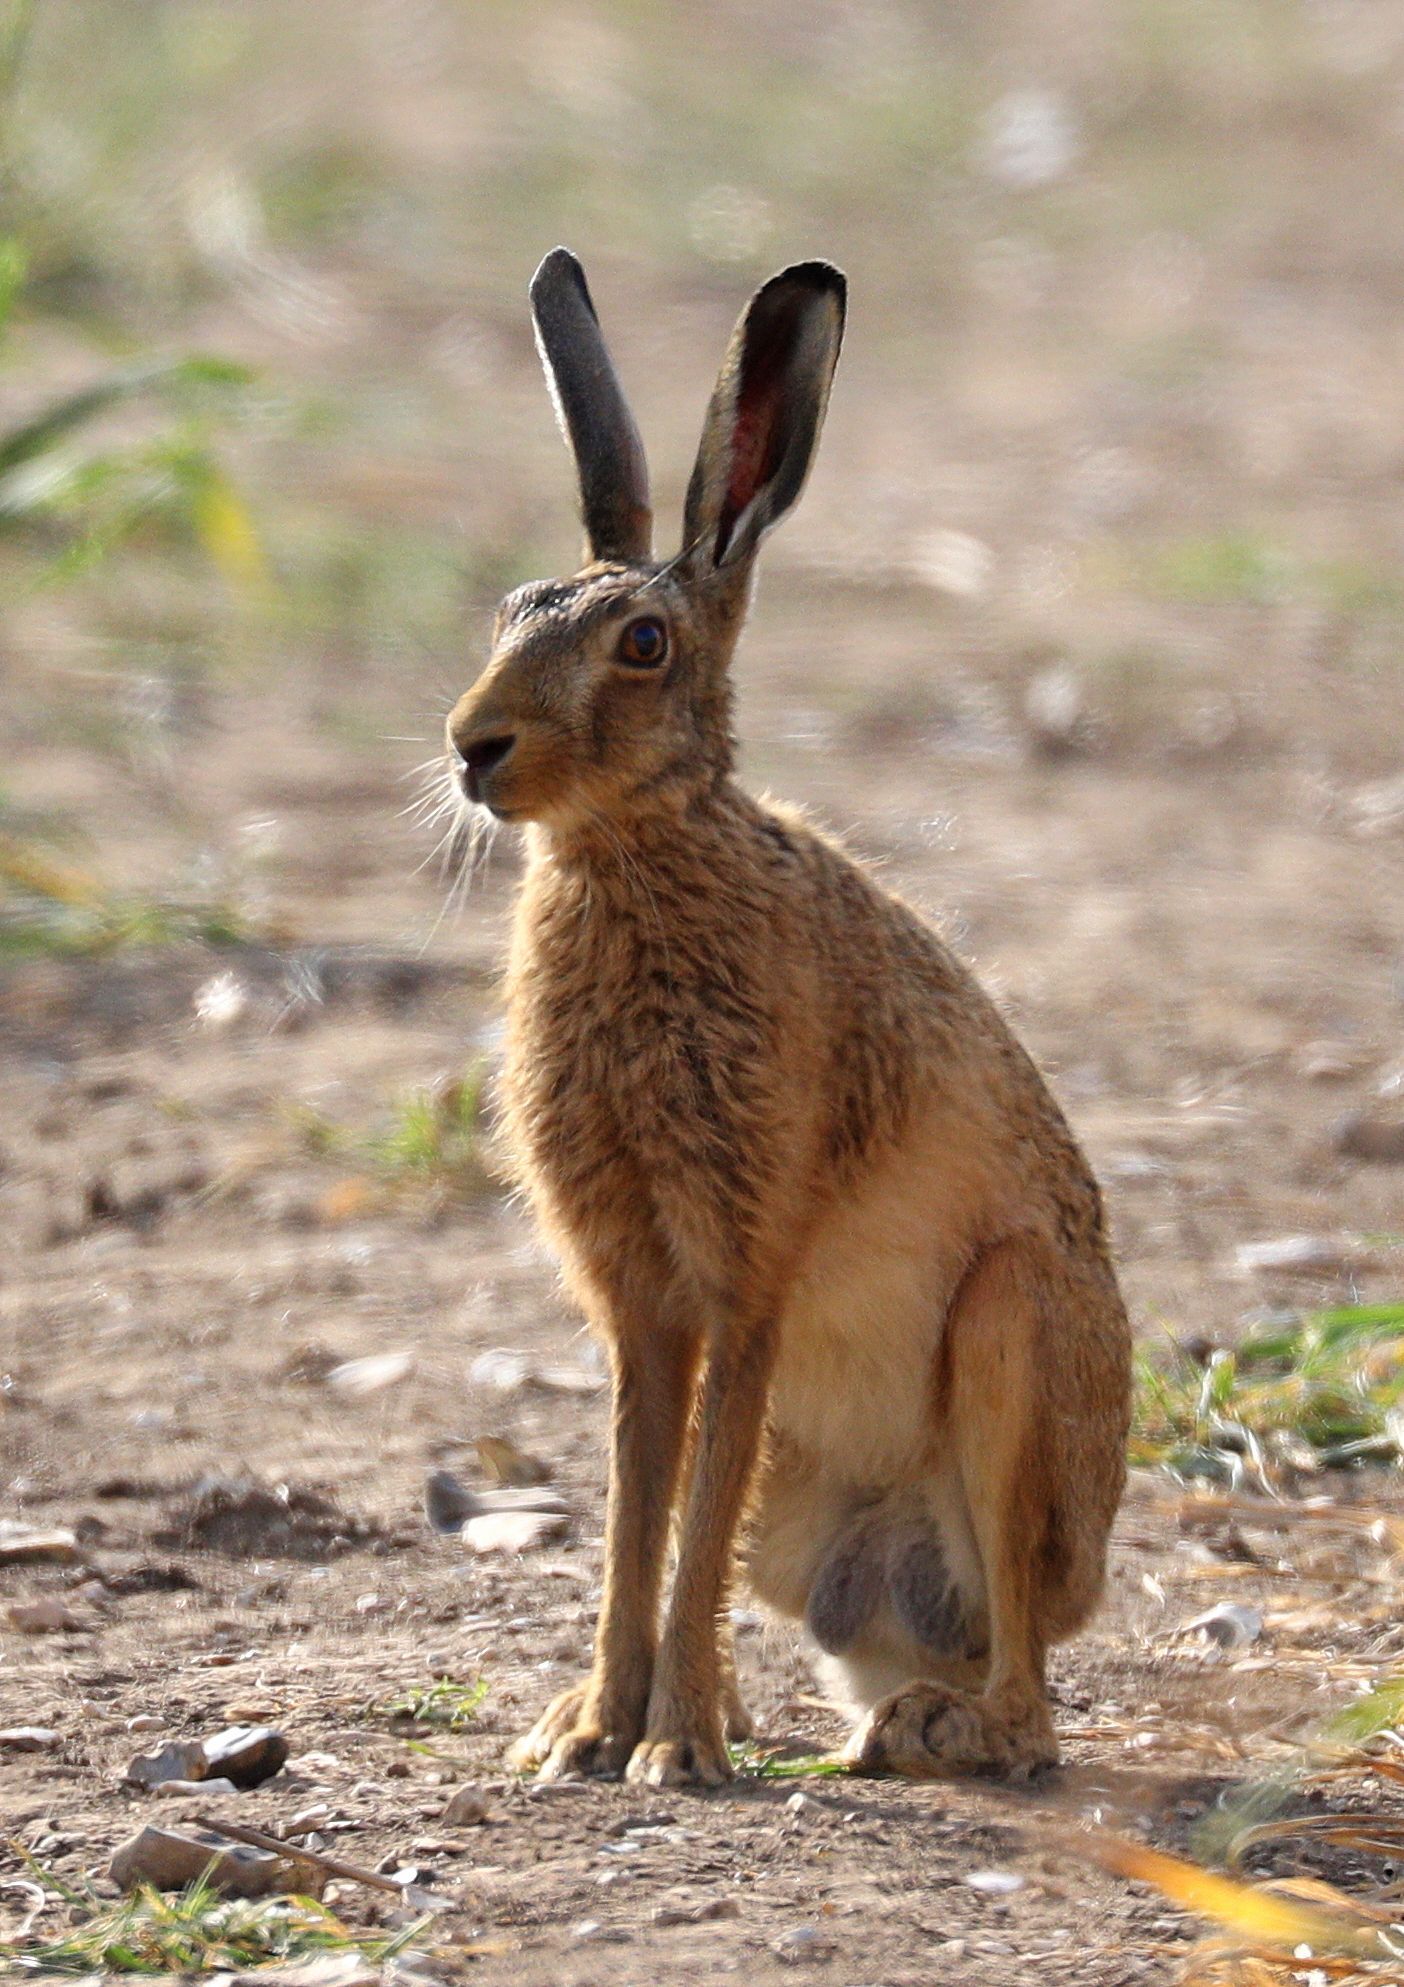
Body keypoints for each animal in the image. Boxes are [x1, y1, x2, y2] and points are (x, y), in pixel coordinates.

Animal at [445, 247, 1131, 1788]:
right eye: (510, 611)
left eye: (643, 643)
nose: (472, 747)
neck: (639, 851)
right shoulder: (638, 1298)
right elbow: (637, 1507)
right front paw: (589, 1729)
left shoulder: (744, 1264)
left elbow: (689, 1507)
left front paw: (675, 1747)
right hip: (813, 1515)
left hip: (1013, 1340)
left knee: (1034, 1681)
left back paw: (935, 1726)